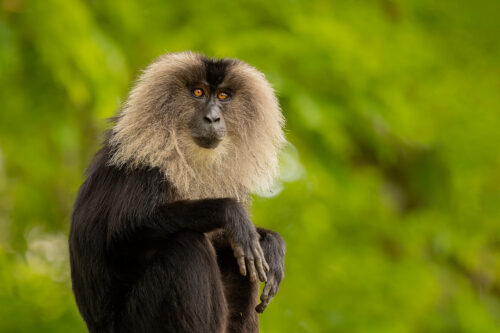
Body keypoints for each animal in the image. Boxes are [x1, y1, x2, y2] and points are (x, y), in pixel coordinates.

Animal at [71, 52, 290, 332]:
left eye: (223, 96)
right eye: (198, 92)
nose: (212, 118)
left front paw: (271, 242)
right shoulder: (148, 159)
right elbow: (125, 229)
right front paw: (232, 214)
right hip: (137, 320)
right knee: (187, 245)